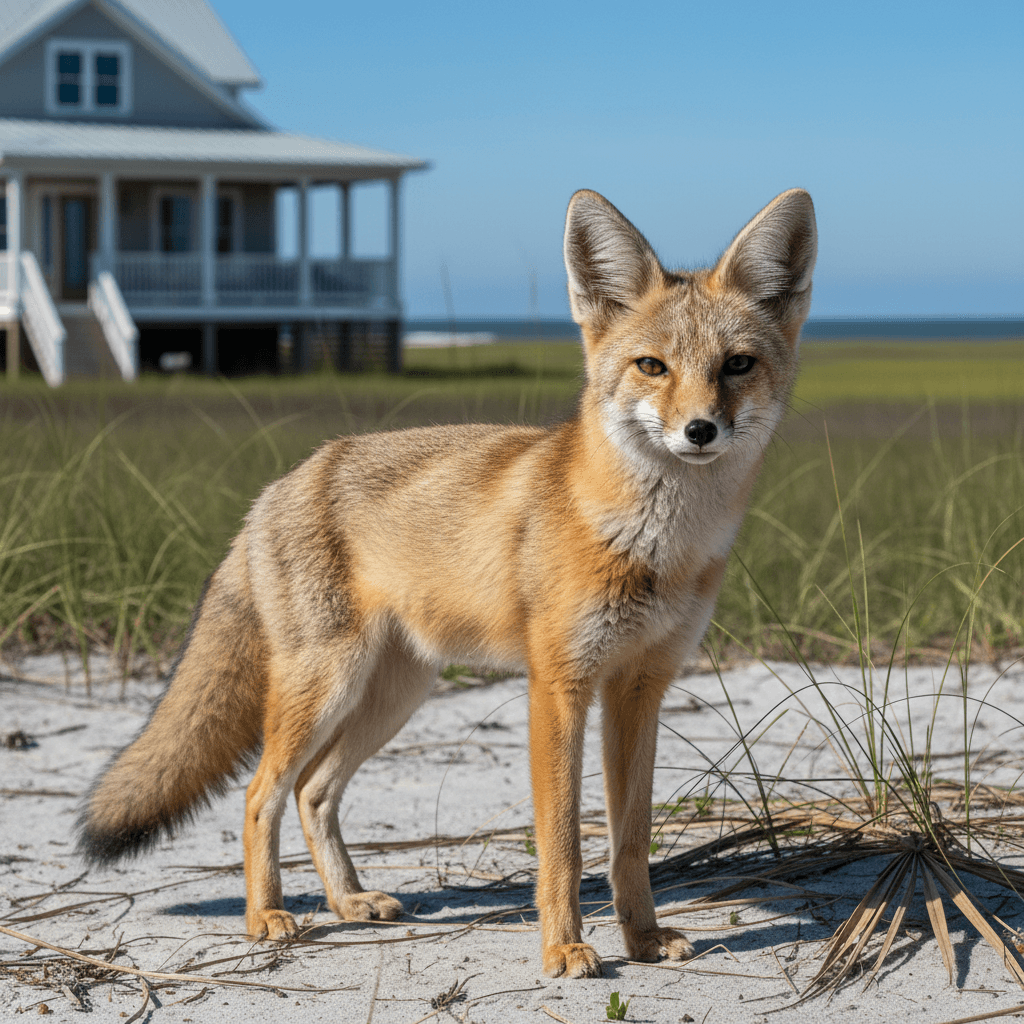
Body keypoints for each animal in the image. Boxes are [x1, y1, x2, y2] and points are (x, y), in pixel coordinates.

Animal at [78, 187, 816, 978]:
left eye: (736, 365)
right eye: (652, 366)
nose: (700, 430)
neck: (652, 546)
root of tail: (281, 484)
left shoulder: (640, 687)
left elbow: (630, 841)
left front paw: (642, 939)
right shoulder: (559, 685)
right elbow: (561, 840)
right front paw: (563, 947)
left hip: (393, 695)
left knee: (312, 792)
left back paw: (349, 901)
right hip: (326, 686)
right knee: (259, 793)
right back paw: (265, 915)